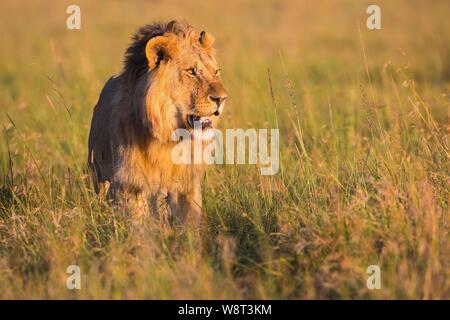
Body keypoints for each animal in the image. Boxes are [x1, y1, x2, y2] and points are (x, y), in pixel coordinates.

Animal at [87, 20, 227, 225]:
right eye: (191, 72)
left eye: (216, 72)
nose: (222, 99)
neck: (170, 136)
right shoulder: (131, 183)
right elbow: (138, 223)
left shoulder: (187, 185)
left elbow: (190, 220)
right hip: (99, 176)